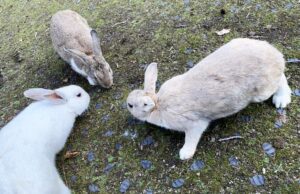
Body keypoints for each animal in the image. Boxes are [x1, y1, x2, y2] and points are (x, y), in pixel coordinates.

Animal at [126, 38, 290, 161]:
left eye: (131, 105)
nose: (126, 103)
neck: (158, 104)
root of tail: (275, 54)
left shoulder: (194, 124)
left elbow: (192, 137)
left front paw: (184, 154)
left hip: (262, 91)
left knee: (280, 79)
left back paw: (281, 100)